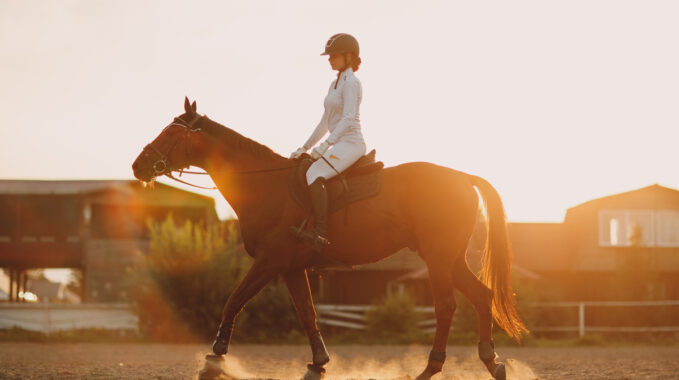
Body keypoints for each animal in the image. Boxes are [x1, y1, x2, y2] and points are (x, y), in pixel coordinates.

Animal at [131, 98, 524, 380]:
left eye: (171, 134)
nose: (137, 166)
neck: (265, 185)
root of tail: (462, 177)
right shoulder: (291, 268)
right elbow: (307, 313)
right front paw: (318, 363)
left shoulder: (270, 262)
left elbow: (233, 301)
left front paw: (214, 359)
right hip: (448, 258)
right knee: (481, 296)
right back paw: (491, 362)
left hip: (439, 259)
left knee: (445, 307)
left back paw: (430, 369)